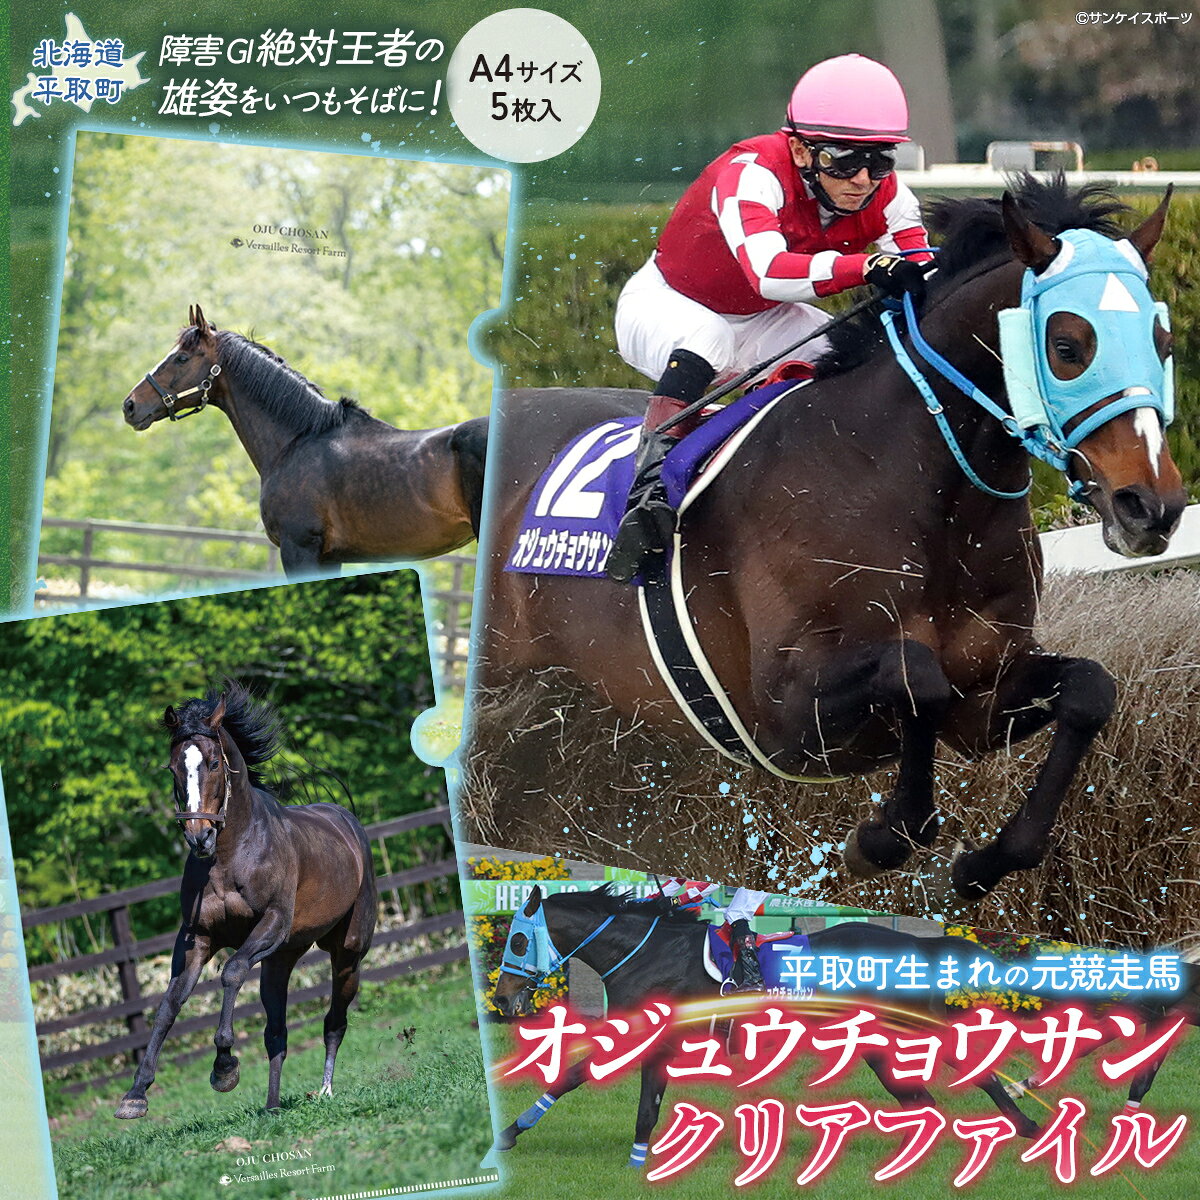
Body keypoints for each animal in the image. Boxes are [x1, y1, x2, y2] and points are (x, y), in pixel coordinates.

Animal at [114, 683, 377, 1118]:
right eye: (173, 769)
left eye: (214, 762)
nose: (199, 837)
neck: (232, 854)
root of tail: (347, 821)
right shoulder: (198, 938)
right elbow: (171, 1002)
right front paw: (135, 1095)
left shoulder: (270, 924)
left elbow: (233, 972)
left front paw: (224, 1068)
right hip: (280, 960)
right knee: (277, 1034)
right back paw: (272, 1108)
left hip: (347, 953)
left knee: (334, 1021)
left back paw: (324, 1091)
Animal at [473, 176, 1185, 902]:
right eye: (1069, 346)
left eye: (1161, 339)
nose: (1151, 508)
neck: (906, 483)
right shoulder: (781, 713)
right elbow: (915, 674)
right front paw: (884, 837)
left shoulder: (983, 699)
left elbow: (1089, 690)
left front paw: (984, 862)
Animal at [489, 885, 1049, 1166]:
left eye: (517, 940)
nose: (502, 997)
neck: (646, 952)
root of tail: (918, 944)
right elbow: (604, 1086)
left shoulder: (652, 1033)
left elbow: (600, 1085)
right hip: (878, 1042)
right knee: (920, 1098)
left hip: (913, 1027)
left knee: (975, 1069)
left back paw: (1028, 1126)